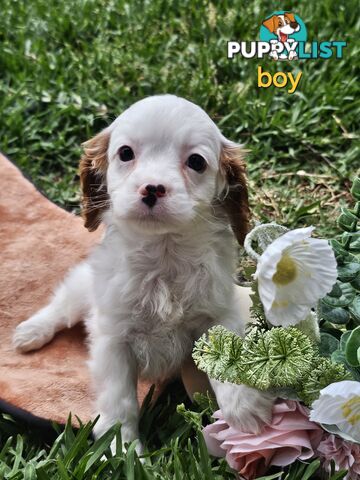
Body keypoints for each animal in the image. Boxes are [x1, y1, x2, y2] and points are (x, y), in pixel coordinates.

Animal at [12, 95, 274, 452]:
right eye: (126, 153)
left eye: (196, 162)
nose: (153, 188)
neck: (164, 252)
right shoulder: (113, 339)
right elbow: (120, 401)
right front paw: (122, 450)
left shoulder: (217, 313)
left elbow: (225, 358)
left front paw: (245, 412)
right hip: (85, 285)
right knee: (63, 306)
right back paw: (31, 332)